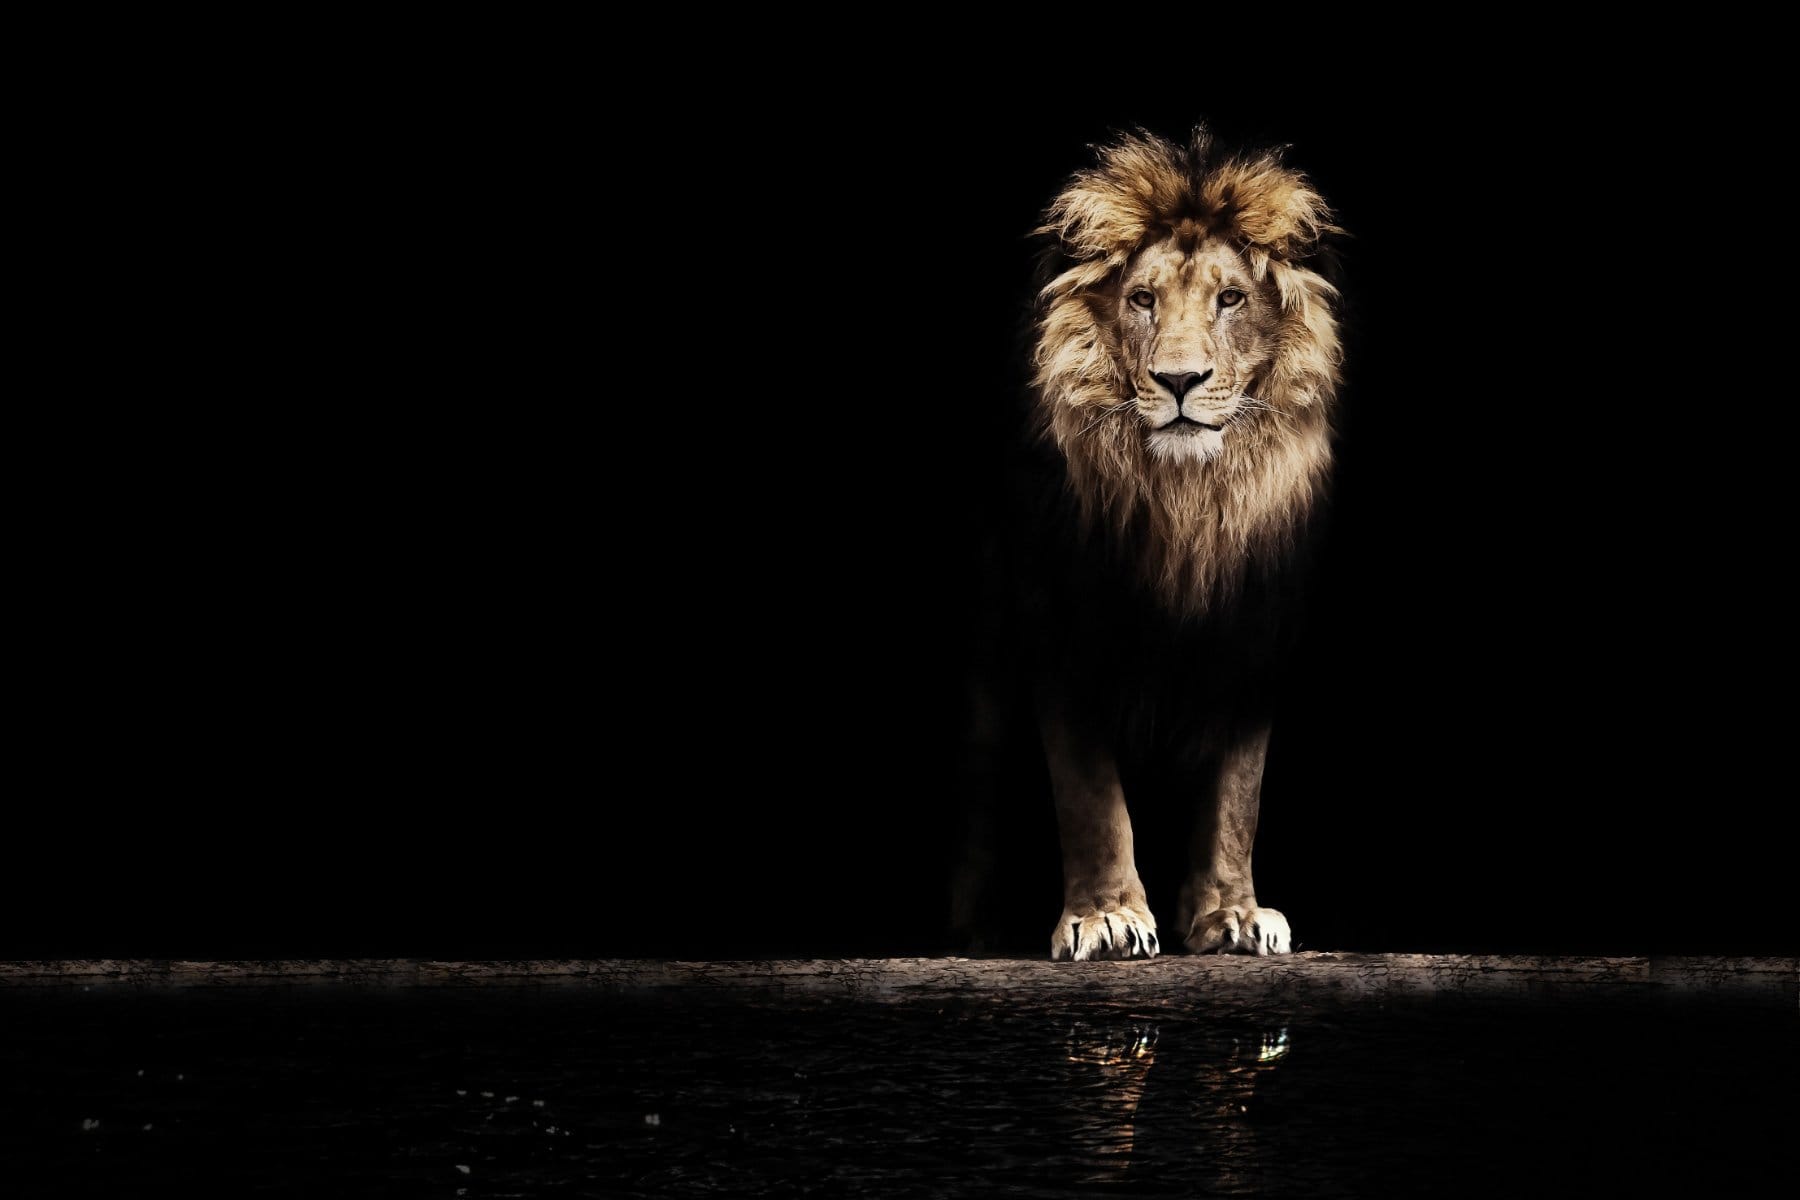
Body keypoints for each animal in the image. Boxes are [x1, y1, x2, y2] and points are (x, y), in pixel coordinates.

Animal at [1023, 127, 1342, 961]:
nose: (1178, 380)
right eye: (1143, 300)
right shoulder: (1058, 627)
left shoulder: (1255, 636)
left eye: (1230, 299)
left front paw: (1232, 914)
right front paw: (1106, 917)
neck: (1187, 505)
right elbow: (1090, 792)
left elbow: (1237, 795)